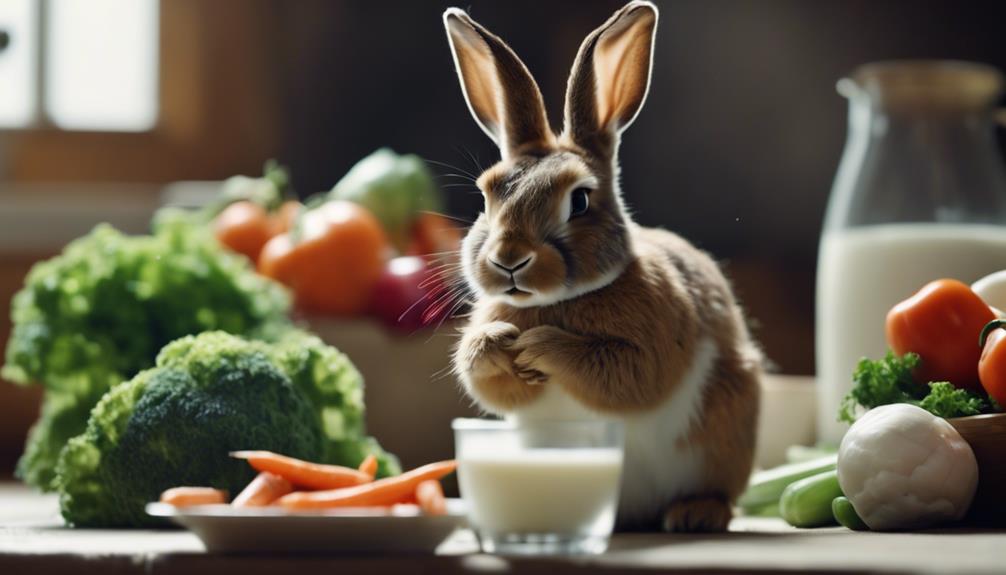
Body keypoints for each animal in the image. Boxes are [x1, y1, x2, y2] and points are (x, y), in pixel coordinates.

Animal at [444, 1, 762, 532]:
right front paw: (500, 344)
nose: (508, 261)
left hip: (727, 425)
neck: (562, 300)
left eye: (579, 201)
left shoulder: (652, 344)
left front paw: (537, 345)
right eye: (487, 197)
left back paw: (694, 514)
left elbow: (627, 375)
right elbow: (488, 381)